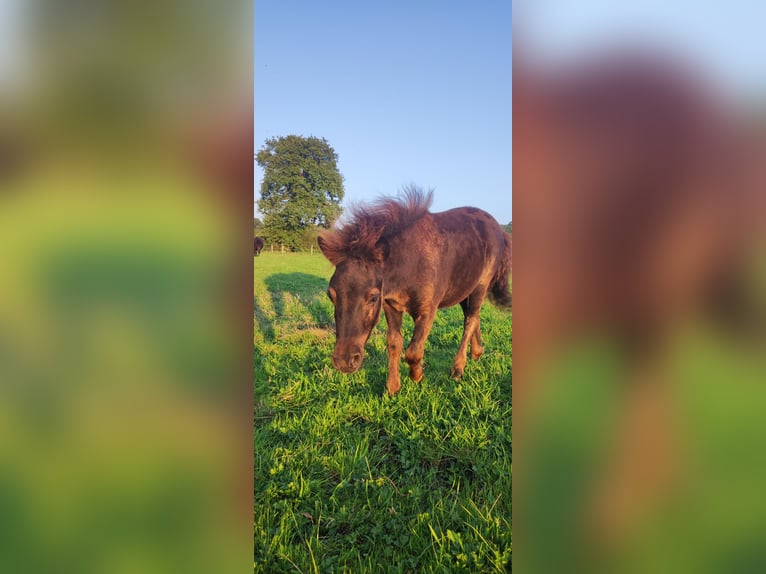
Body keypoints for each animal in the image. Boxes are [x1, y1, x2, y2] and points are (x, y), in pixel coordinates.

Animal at [316, 188, 512, 396]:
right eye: (331, 295)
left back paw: (458, 368)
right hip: (464, 288)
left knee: (470, 320)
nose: (344, 361)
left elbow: (413, 351)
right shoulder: (391, 306)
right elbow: (394, 343)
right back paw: (477, 352)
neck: (410, 263)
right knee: (473, 316)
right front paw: (393, 387)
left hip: (480, 286)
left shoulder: (428, 310)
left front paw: (417, 375)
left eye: (373, 297)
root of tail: (499, 230)